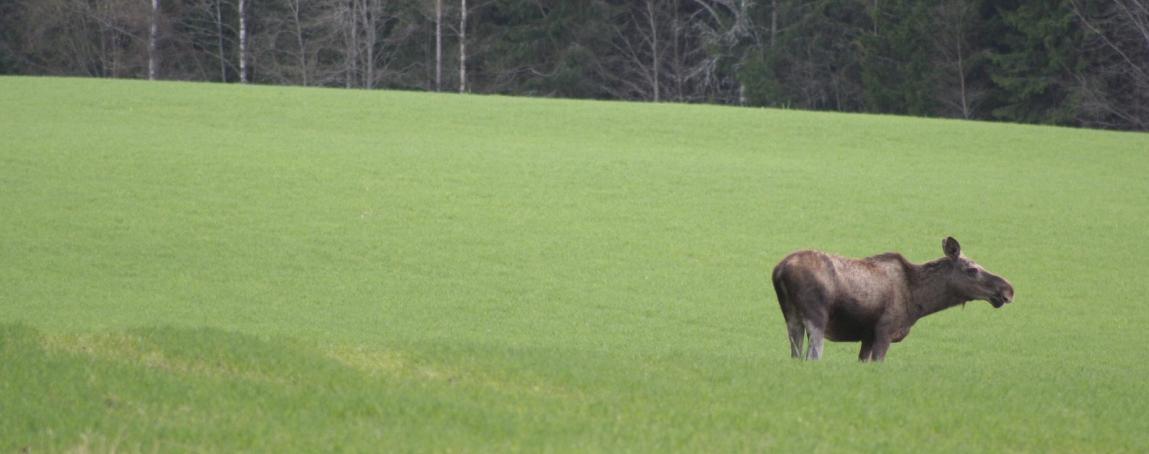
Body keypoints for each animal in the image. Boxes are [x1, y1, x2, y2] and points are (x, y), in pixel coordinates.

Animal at [772, 237, 1015, 363]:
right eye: (972, 269)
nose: (1008, 289)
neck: (918, 301)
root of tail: (779, 270)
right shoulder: (884, 330)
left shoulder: (867, 335)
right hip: (817, 318)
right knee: (812, 356)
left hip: (791, 317)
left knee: (795, 355)